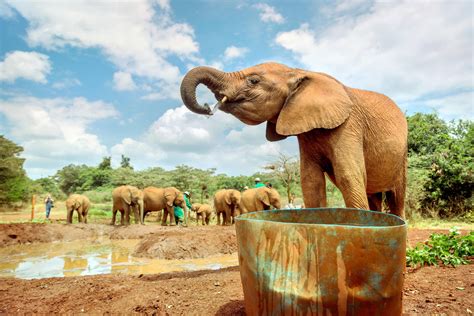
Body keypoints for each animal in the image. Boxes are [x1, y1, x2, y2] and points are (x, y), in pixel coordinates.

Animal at [181, 63, 408, 218]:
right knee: (374, 195)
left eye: (253, 81)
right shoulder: (305, 133)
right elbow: (311, 181)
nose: (207, 107)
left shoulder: (349, 125)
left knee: (397, 196)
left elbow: (348, 176)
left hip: (402, 156)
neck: (298, 71)